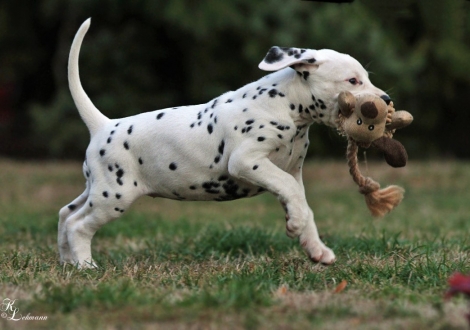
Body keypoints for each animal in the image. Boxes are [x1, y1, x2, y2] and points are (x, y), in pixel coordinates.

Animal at [59, 18, 390, 268]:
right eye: (352, 81)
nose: (386, 100)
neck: (285, 107)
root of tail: (103, 125)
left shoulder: (292, 171)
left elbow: (301, 201)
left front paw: (315, 247)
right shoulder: (248, 161)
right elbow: (292, 193)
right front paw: (296, 226)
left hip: (96, 190)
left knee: (65, 214)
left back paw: (67, 262)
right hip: (114, 196)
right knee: (78, 225)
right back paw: (86, 266)